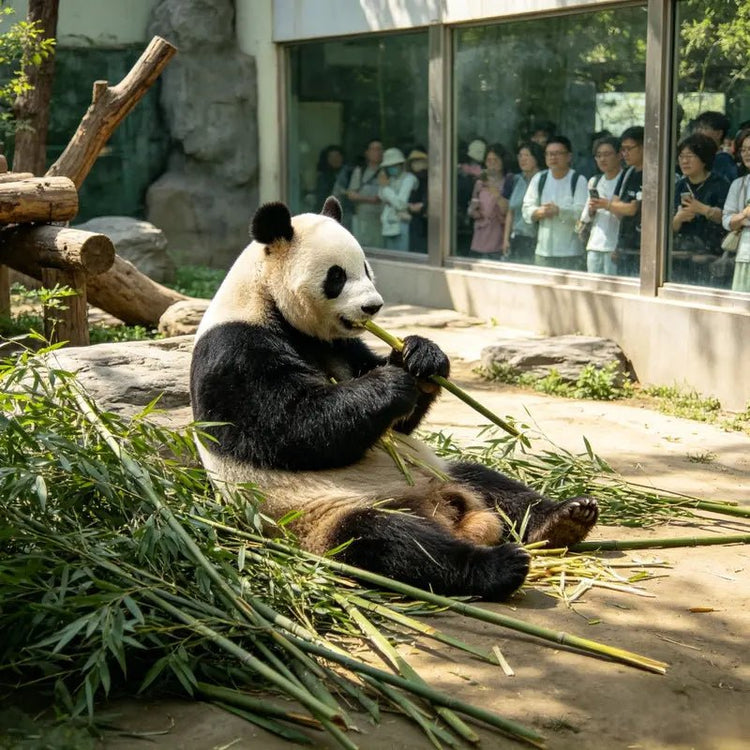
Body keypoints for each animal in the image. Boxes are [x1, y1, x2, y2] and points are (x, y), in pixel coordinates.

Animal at [190, 197, 598, 600]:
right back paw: (498, 565)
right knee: (392, 541)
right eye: (336, 276)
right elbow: (289, 429)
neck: (267, 300)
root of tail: (445, 509)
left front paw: (422, 357)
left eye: (367, 269)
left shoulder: (339, 345)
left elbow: (398, 422)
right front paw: (392, 383)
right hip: (320, 516)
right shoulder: (236, 350)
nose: (373, 307)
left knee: (492, 483)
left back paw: (565, 519)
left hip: (442, 471)